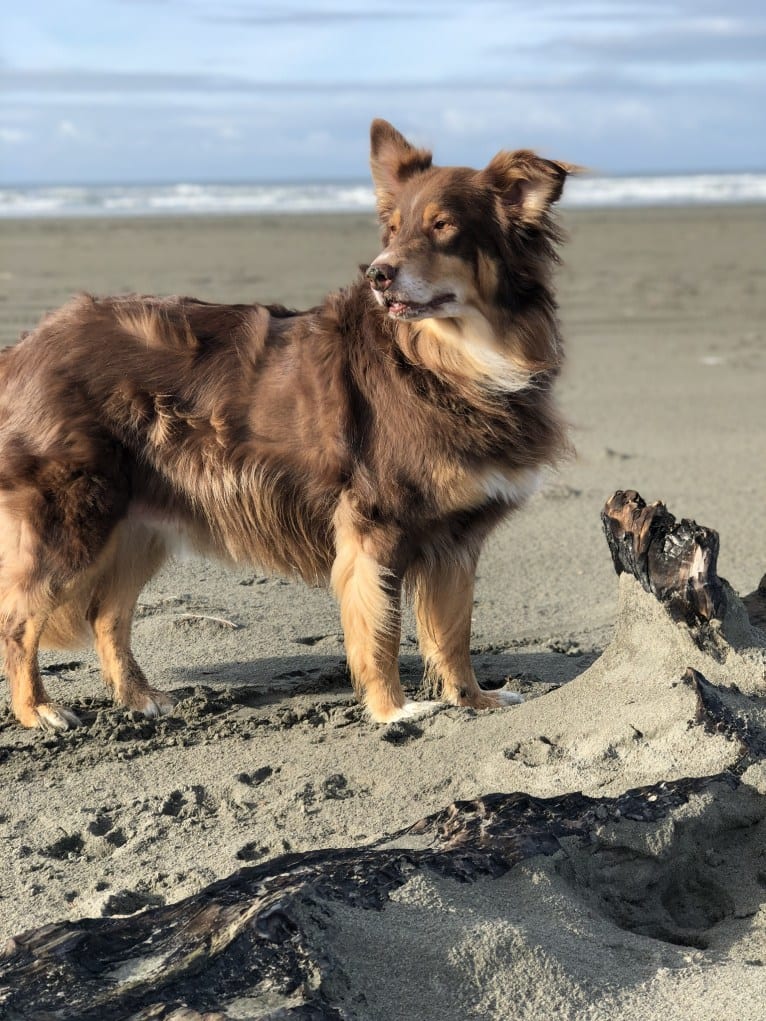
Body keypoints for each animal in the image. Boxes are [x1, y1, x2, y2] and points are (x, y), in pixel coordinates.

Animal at [0, 121, 571, 726]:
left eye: (443, 226)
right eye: (392, 229)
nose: (378, 274)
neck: (452, 357)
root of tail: (25, 345)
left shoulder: (457, 538)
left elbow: (454, 632)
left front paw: (474, 700)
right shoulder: (374, 526)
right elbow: (381, 631)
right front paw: (393, 710)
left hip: (139, 522)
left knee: (107, 614)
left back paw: (140, 698)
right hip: (74, 517)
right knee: (18, 617)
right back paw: (38, 710)